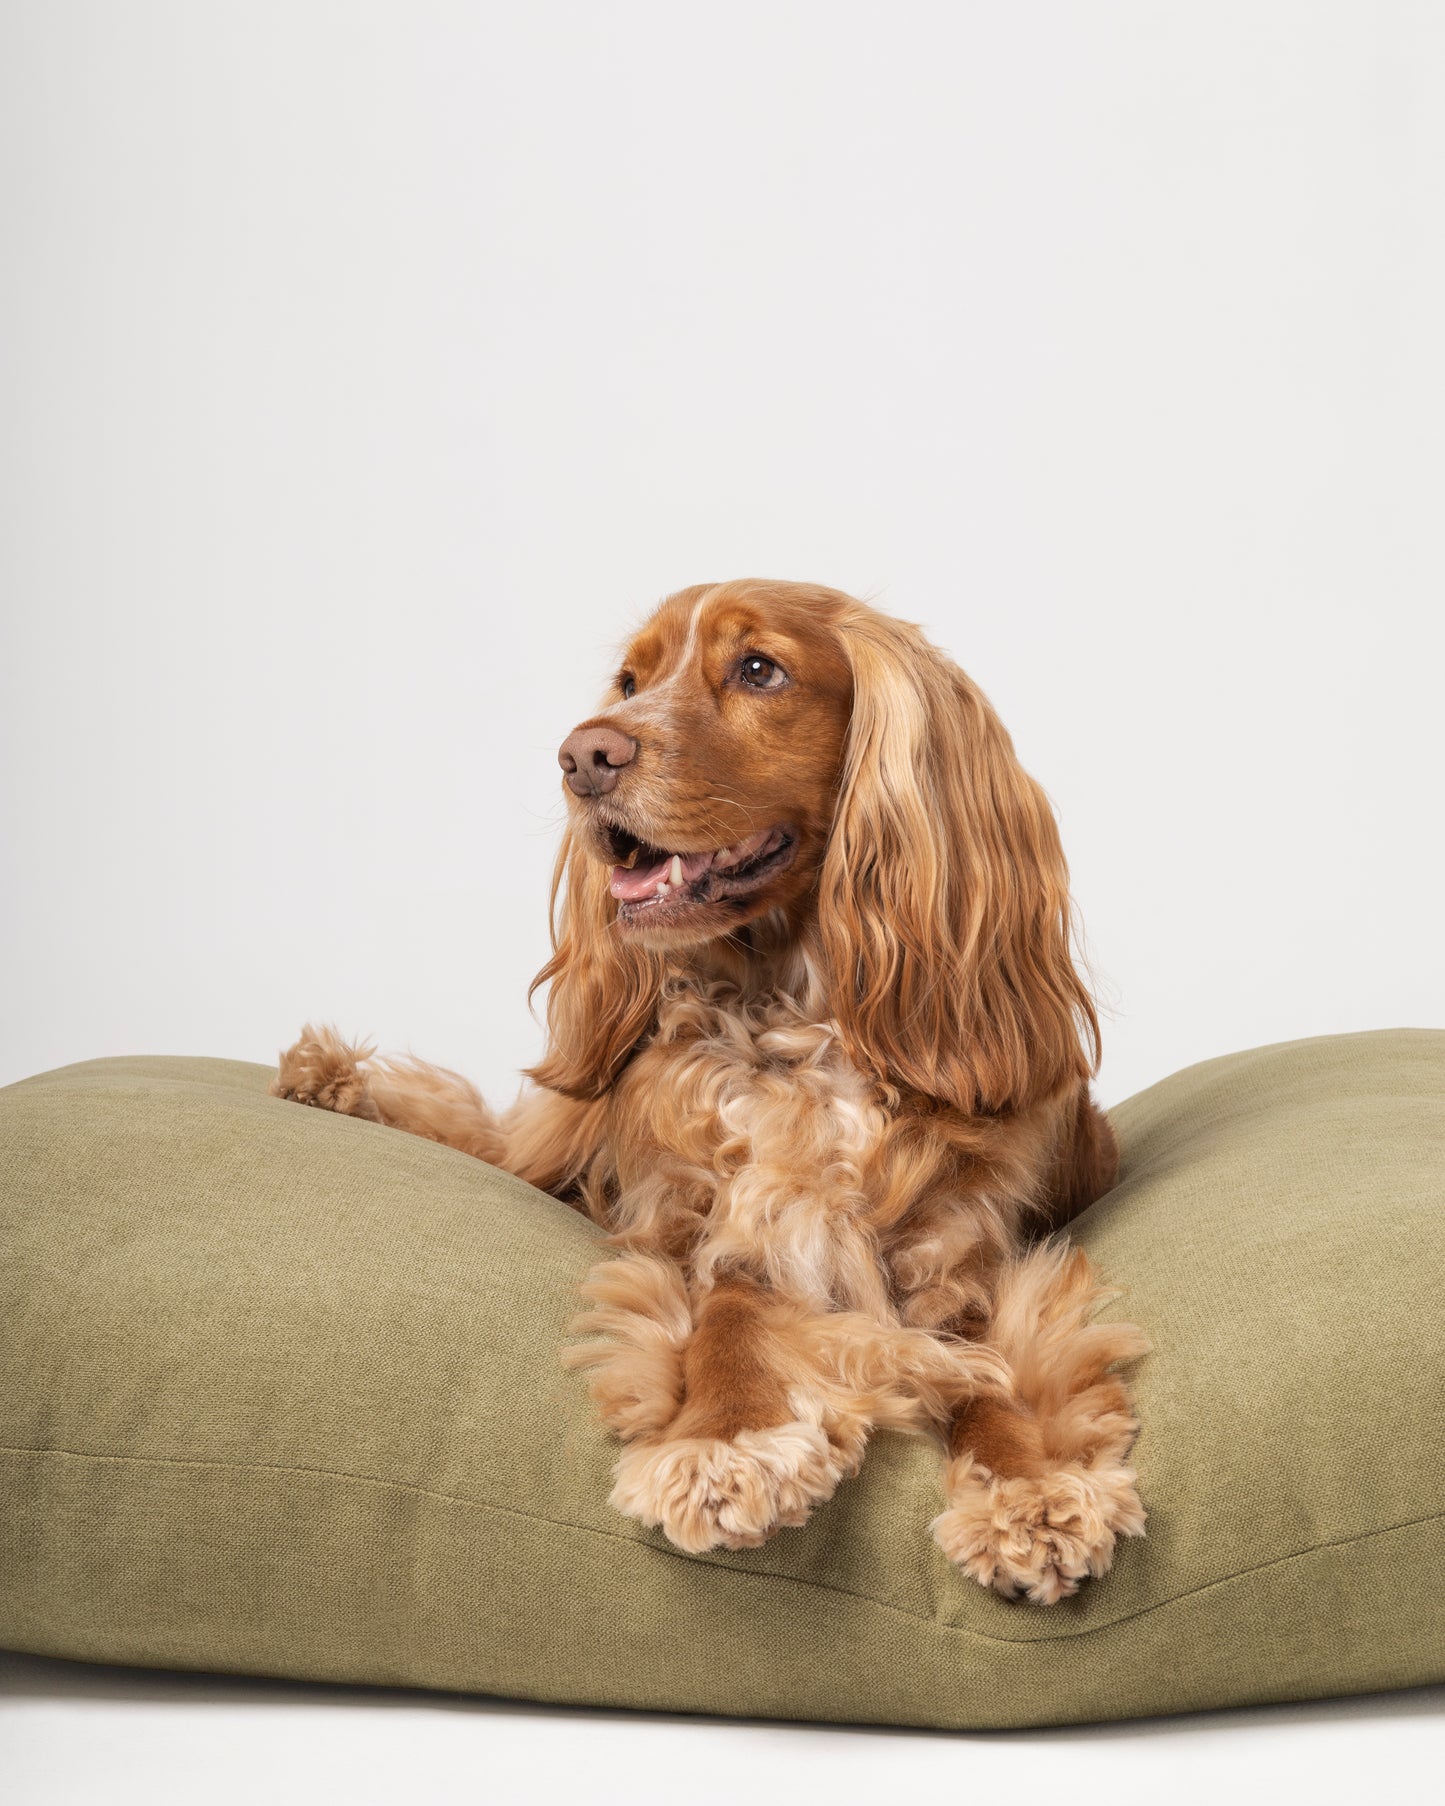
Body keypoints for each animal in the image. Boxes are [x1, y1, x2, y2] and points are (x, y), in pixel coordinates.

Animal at [276, 581, 1148, 1610]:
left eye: (759, 669)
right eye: (629, 680)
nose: (583, 755)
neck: (794, 1019)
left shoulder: (960, 1267)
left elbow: (989, 1381)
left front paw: (1030, 1489)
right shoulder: (712, 1230)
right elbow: (729, 1318)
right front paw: (725, 1441)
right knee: (497, 1143)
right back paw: (334, 1079)